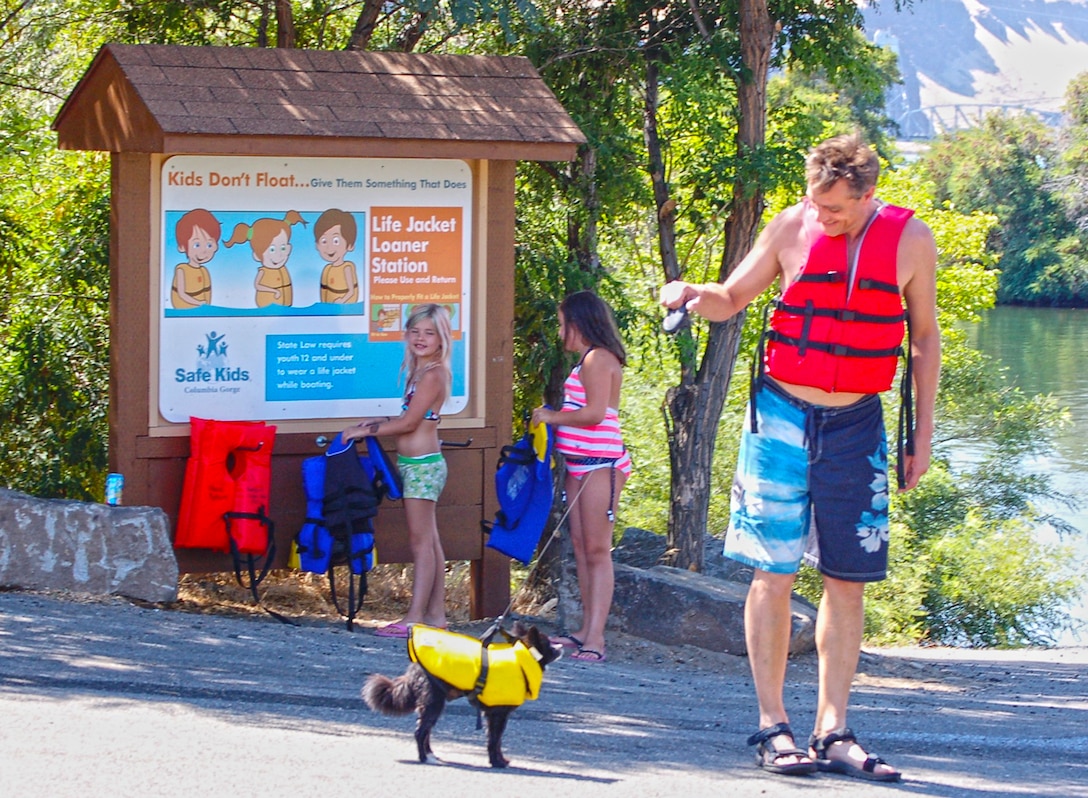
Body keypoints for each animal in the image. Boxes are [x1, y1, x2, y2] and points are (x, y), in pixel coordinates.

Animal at [361, 622, 561, 766]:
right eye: (549, 645)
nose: (560, 646)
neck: (524, 657)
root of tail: (415, 669)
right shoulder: (498, 714)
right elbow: (495, 740)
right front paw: (497, 762)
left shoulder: (491, 715)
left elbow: (494, 740)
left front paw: (498, 760)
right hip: (434, 704)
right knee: (420, 732)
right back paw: (425, 759)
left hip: (433, 705)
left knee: (426, 732)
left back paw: (431, 755)